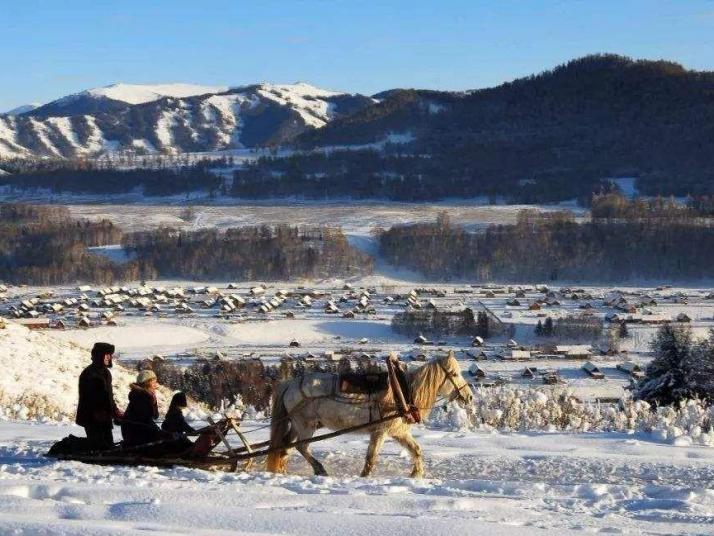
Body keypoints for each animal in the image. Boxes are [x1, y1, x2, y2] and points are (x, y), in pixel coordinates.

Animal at [264, 352, 470, 478]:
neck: (402, 392)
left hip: (298, 424)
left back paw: (282, 467)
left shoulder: (399, 432)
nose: (469, 396)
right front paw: (365, 476)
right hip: (306, 425)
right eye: (454, 374)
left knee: (286, 445)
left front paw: (416, 474)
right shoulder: (380, 431)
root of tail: (290, 384)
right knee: (301, 446)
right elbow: (371, 457)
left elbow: (416, 450)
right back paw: (319, 469)